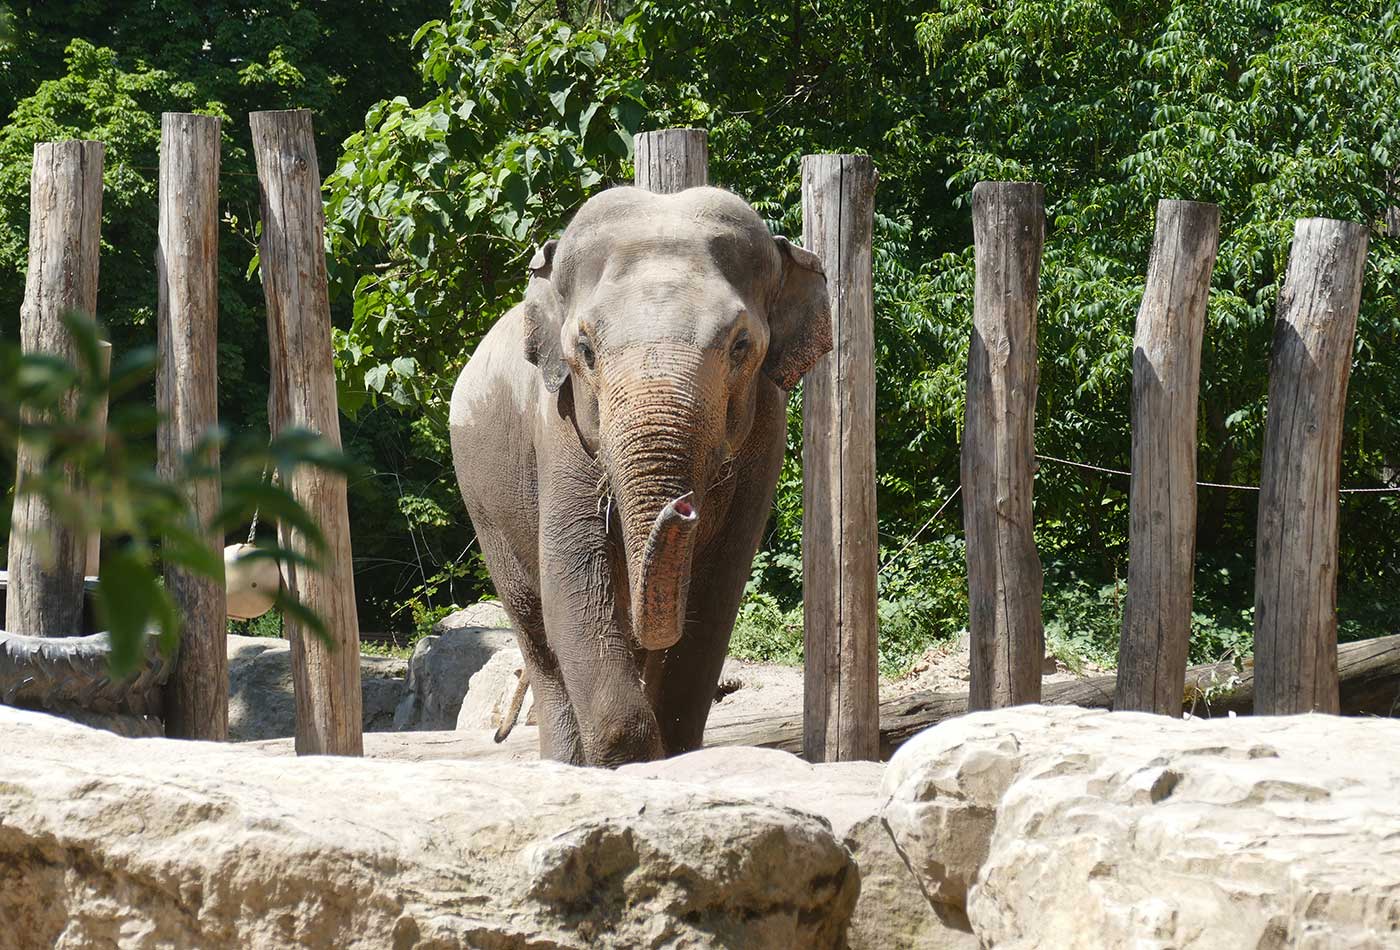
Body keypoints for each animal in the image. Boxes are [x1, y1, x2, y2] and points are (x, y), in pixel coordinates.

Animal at [448, 183, 823, 766]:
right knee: (535, 626)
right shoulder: (558, 426)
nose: (684, 507)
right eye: (584, 350)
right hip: (483, 500)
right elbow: (574, 578)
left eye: (741, 346)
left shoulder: (767, 432)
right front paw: (627, 760)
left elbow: (715, 595)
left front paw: (675, 757)